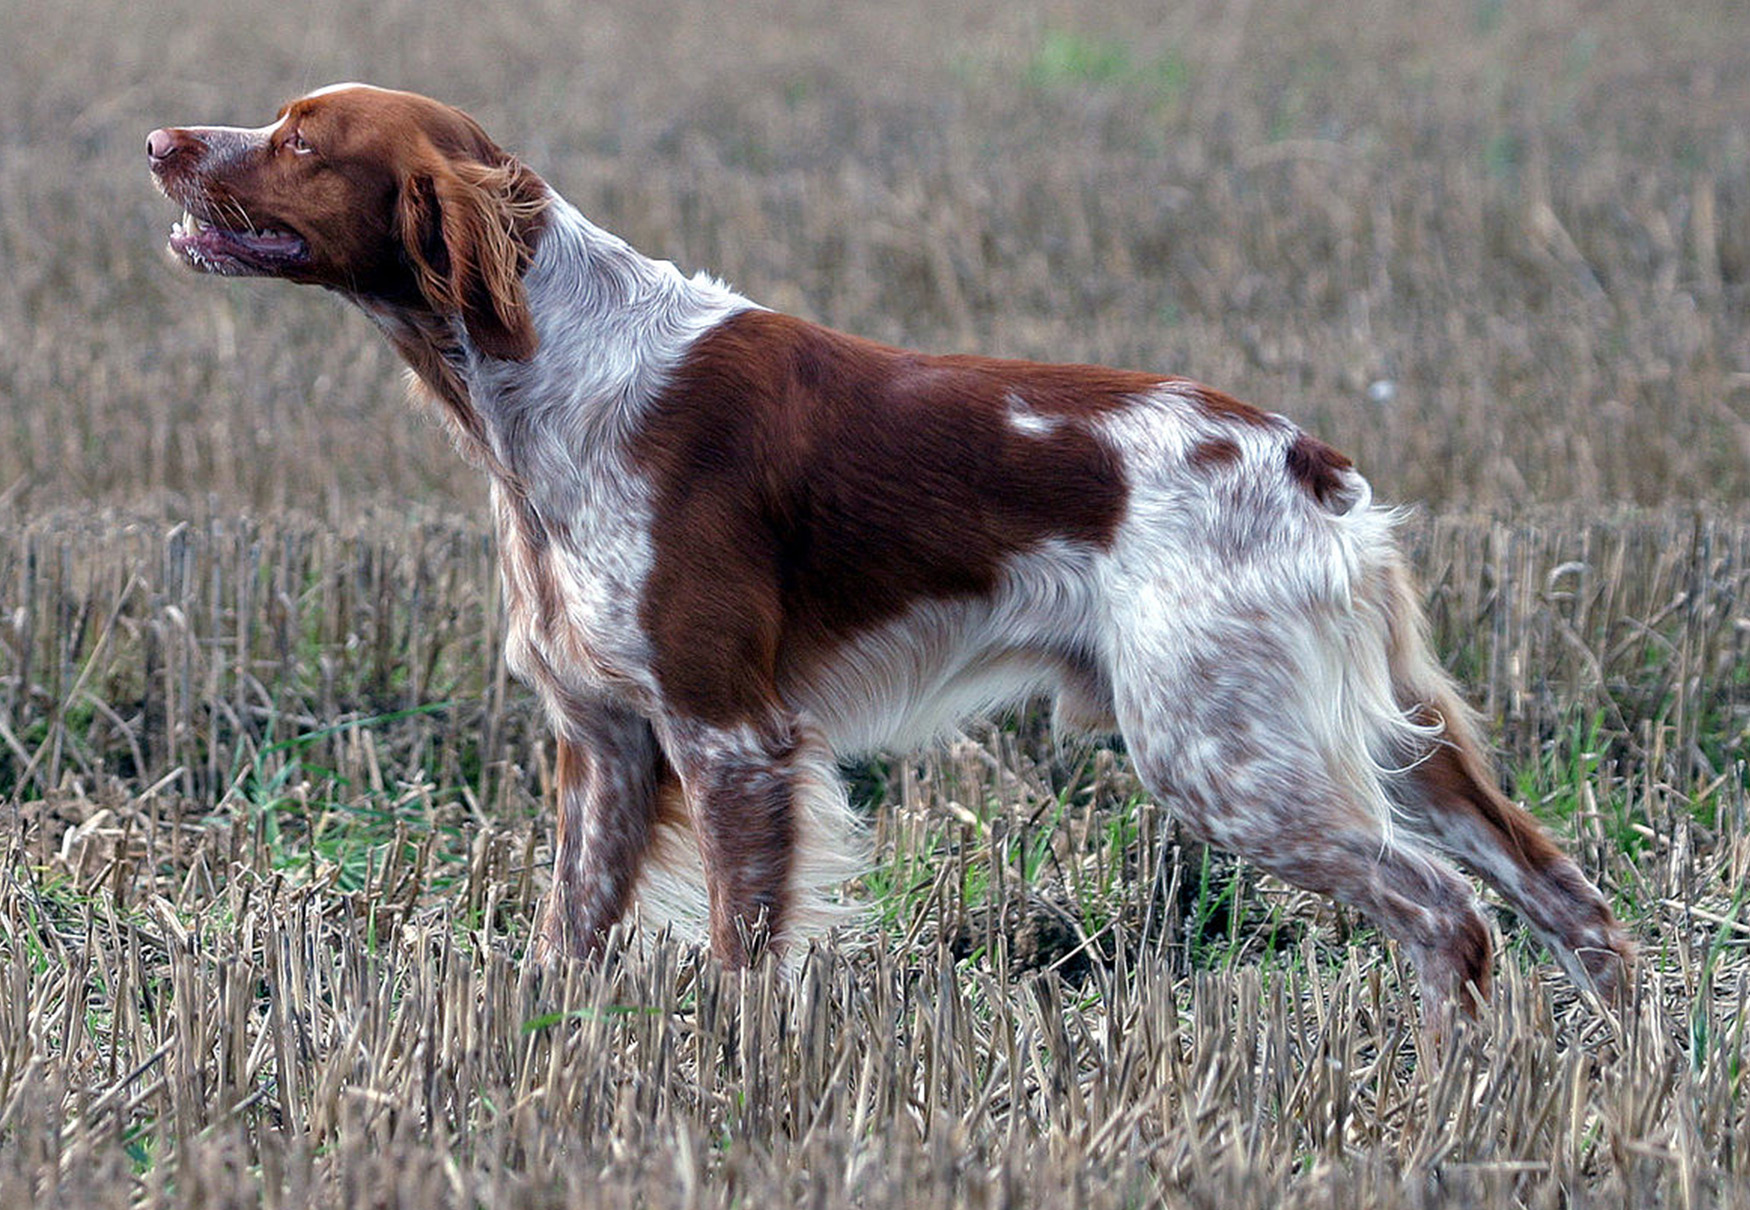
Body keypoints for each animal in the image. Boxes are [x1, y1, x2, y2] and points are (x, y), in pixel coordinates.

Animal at [147, 82, 1624, 1015]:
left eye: (299, 139)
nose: (160, 138)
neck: (549, 374)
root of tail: (1311, 465)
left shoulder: (732, 733)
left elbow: (744, 953)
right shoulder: (605, 743)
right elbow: (569, 936)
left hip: (1225, 753)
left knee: (1448, 917)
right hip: (1388, 739)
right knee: (1568, 899)